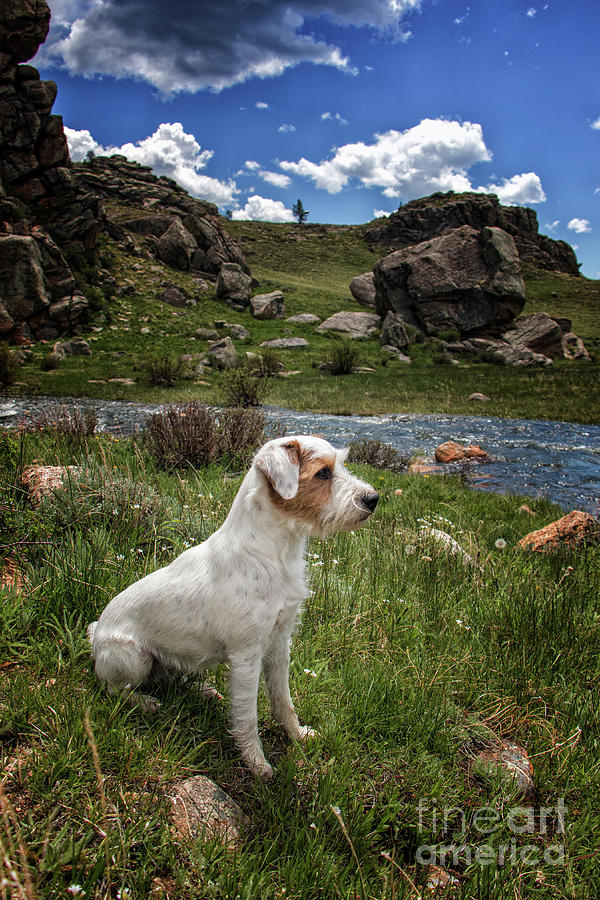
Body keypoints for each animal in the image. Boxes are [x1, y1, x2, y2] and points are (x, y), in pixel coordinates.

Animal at [86, 434, 378, 772]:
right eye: (323, 473)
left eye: (341, 464)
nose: (373, 498)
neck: (273, 553)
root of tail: (96, 634)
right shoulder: (247, 656)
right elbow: (247, 715)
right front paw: (257, 764)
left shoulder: (280, 643)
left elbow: (283, 701)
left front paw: (298, 735)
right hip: (133, 657)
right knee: (116, 688)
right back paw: (145, 703)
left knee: (169, 678)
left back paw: (202, 690)